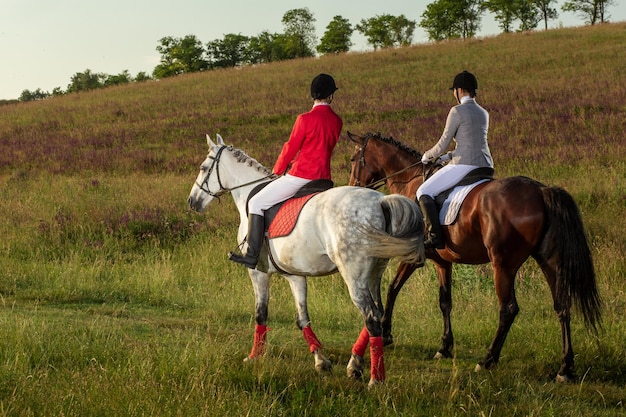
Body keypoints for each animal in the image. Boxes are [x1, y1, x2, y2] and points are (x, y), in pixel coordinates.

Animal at [185, 135, 424, 386]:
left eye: (203, 168)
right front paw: (321, 360)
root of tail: (381, 202)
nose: (192, 201)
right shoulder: (295, 276)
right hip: (374, 273)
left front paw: (255, 356)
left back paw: (375, 379)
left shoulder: (258, 272)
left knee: (371, 318)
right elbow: (302, 319)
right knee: (377, 311)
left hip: (354, 277)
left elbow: (261, 313)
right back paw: (355, 364)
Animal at [346, 131, 600, 380]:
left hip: (503, 264)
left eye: (353, 159)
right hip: (548, 261)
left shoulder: (412, 257)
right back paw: (565, 368)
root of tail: (540, 190)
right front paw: (444, 347)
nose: (352, 188)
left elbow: (393, 289)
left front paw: (386, 333)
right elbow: (445, 302)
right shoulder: (443, 263)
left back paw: (487, 360)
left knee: (508, 309)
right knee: (562, 305)